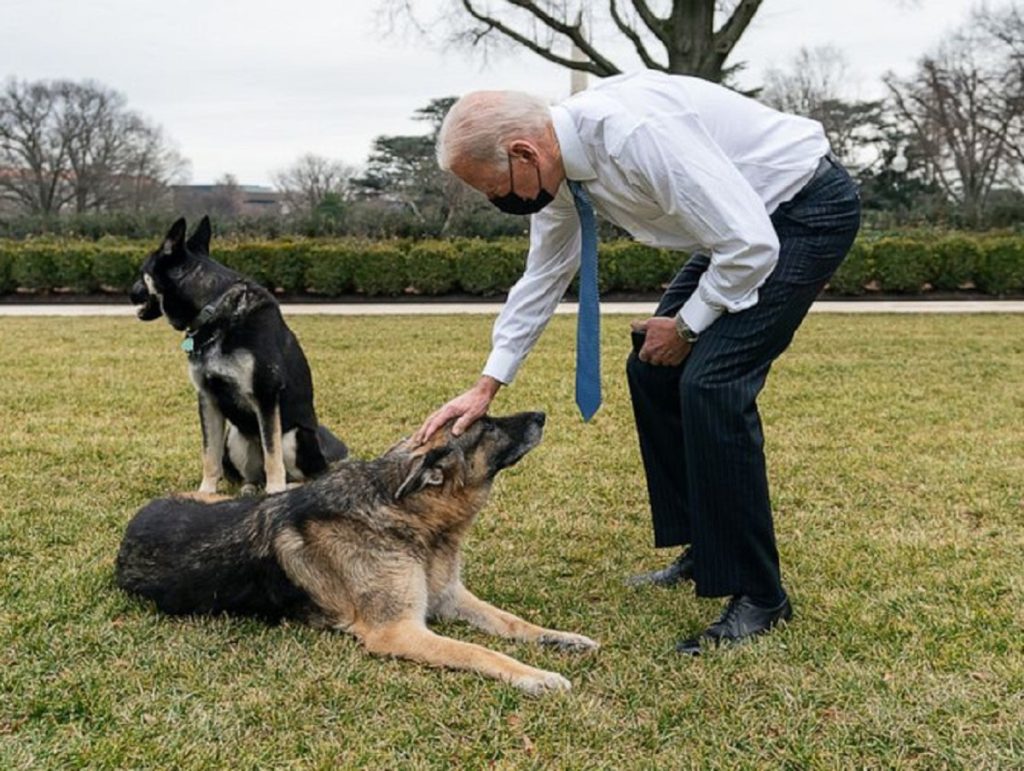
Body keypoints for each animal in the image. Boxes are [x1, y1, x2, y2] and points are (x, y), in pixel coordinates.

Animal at [117, 411, 598, 696]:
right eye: (490, 426)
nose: (541, 415)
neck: (405, 513)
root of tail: (131, 528)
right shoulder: (398, 631)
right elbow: (479, 651)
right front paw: (535, 675)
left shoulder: (449, 597)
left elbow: (514, 623)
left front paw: (561, 638)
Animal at [130, 217, 346, 493]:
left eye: (141, 271)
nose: (130, 292)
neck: (213, 309)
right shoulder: (207, 398)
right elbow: (209, 455)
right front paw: (206, 492)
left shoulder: (266, 396)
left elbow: (272, 453)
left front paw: (275, 491)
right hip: (235, 435)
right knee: (253, 474)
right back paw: (250, 488)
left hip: (294, 436)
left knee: (303, 474)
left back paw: (286, 486)